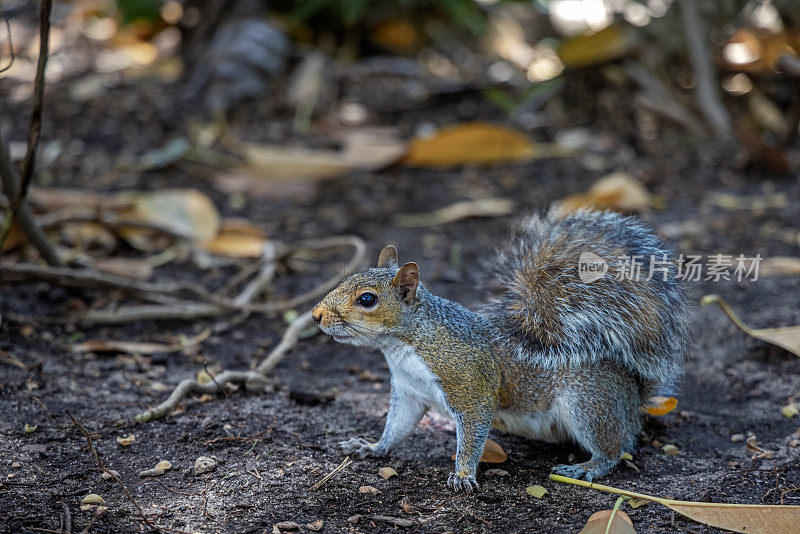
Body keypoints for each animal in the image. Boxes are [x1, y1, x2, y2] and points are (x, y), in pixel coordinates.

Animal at [310, 206, 688, 494]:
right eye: (348, 279)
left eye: (367, 299)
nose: (316, 315)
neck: (406, 344)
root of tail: (634, 397)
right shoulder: (409, 391)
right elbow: (398, 425)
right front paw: (372, 447)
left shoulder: (469, 383)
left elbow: (473, 429)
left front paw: (463, 474)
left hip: (589, 403)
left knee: (615, 448)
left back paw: (588, 467)